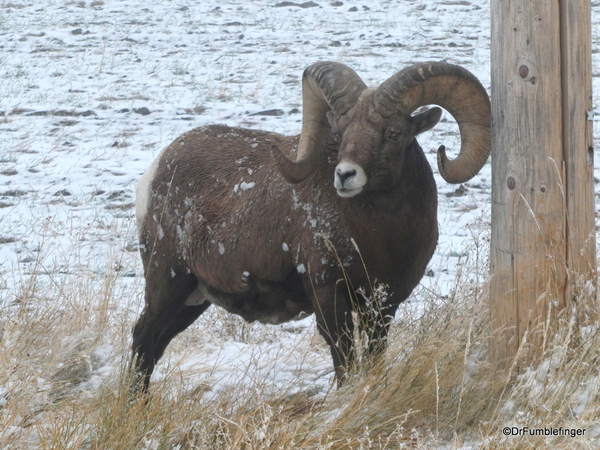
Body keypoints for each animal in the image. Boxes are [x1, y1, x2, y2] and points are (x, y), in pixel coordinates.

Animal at [130, 59, 488, 390]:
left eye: (394, 133)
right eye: (340, 134)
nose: (345, 175)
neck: (383, 239)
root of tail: (155, 171)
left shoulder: (383, 306)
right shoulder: (329, 295)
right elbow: (345, 362)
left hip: (194, 299)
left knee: (155, 345)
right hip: (168, 281)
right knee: (144, 337)